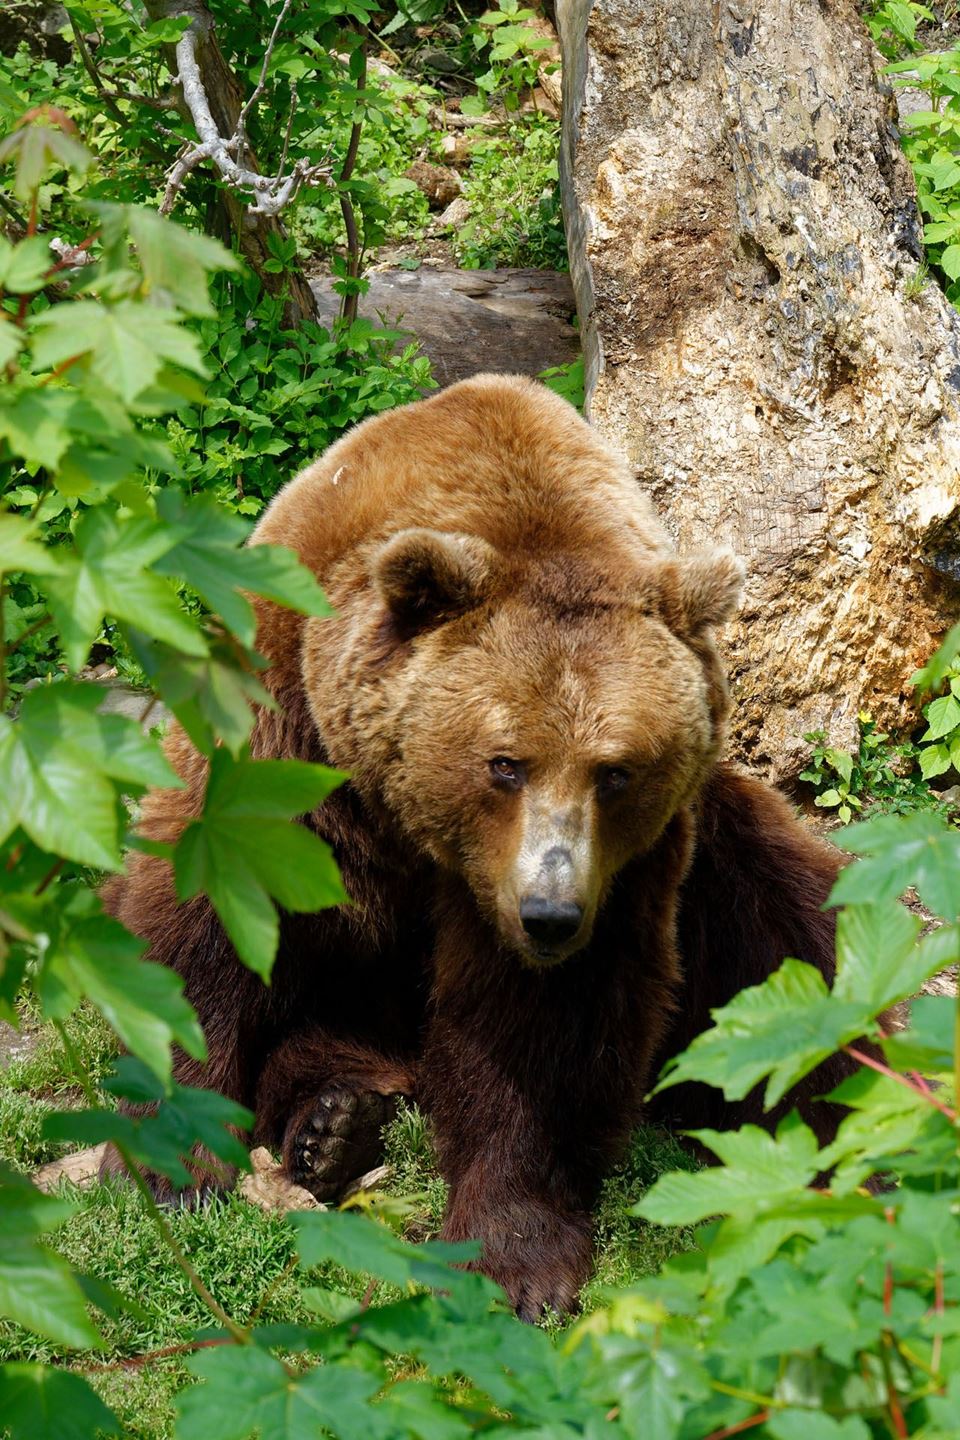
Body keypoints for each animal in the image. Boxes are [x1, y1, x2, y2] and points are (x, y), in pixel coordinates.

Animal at [105, 377, 852, 1319]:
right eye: (505, 763)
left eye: (616, 771)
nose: (549, 913)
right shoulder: (281, 733)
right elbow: (203, 926)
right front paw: (178, 1162)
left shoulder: (623, 872)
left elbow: (539, 1032)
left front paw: (514, 1259)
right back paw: (331, 1127)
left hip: (726, 847)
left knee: (797, 954)